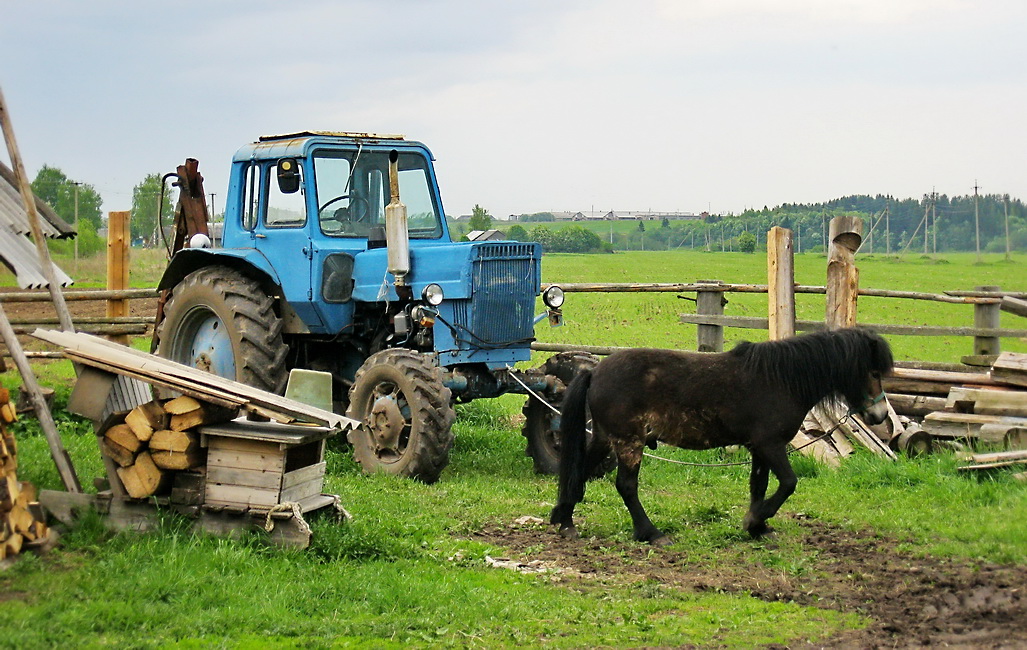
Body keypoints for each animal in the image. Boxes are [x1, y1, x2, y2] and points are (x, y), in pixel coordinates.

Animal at [550, 326, 895, 546]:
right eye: (873, 372)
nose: (880, 416)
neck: (781, 380)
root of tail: (594, 371)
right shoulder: (771, 445)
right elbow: (788, 483)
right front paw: (755, 520)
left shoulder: (758, 448)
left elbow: (759, 485)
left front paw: (759, 528)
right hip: (628, 442)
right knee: (626, 486)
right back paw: (651, 533)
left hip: (605, 438)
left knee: (580, 472)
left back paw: (565, 521)